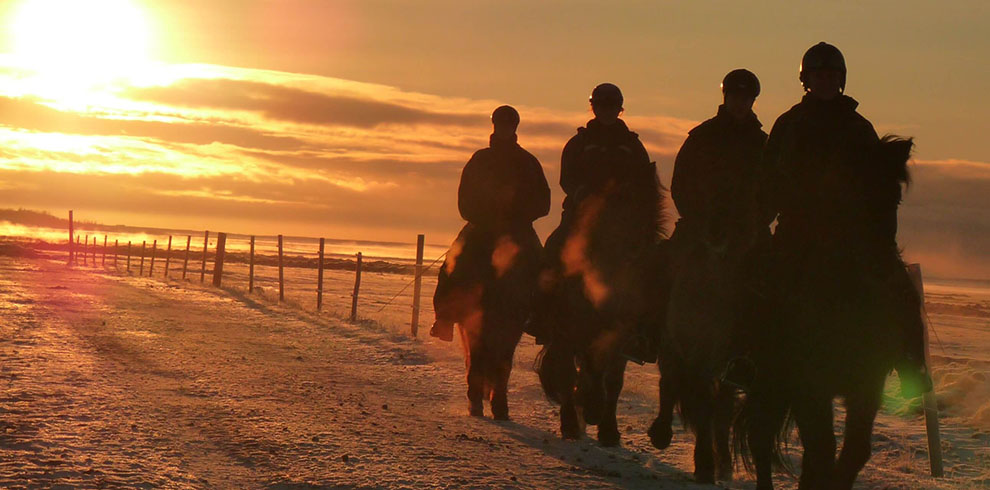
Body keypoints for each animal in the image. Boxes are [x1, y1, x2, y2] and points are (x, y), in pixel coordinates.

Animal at [536, 159, 668, 446]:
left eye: (645, 225)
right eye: (614, 219)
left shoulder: (621, 335)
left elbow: (612, 380)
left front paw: (607, 428)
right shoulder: (572, 329)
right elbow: (573, 371)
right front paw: (582, 413)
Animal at [740, 135, 920, 490]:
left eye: (894, 197)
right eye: (849, 196)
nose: (882, 269)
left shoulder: (867, 385)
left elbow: (853, 452)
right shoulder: (810, 386)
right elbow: (823, 450)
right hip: (770, 379)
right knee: (760, 435)